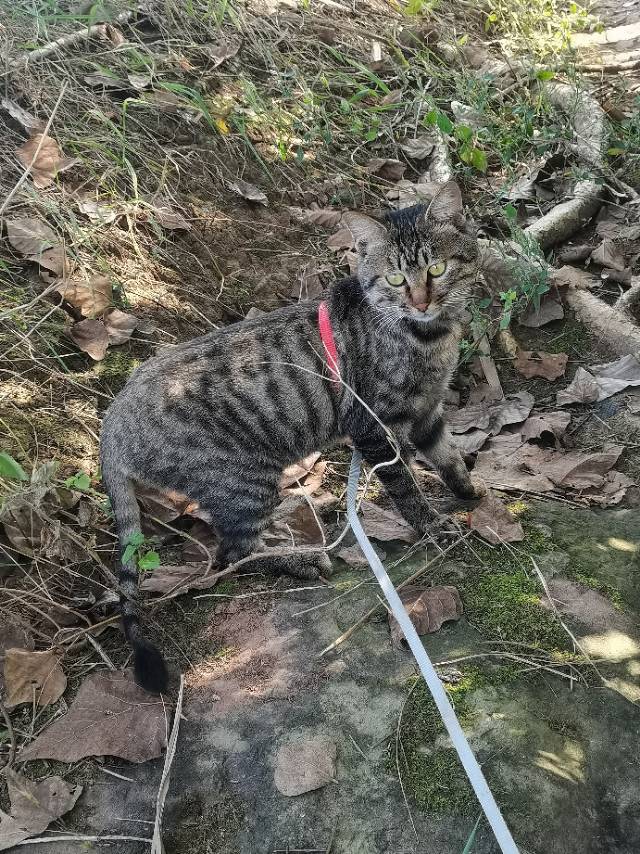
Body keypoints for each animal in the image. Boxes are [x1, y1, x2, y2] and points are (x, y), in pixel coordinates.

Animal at [101, 182, 484, 696]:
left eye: (436, 269)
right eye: (395, 279)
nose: (422, 303)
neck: (430, 338)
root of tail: (113, 419)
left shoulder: (428, 412)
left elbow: (449, 458)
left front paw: (469, 492)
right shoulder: (374, 428)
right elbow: (407, 489)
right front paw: (433, 526)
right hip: (242, 479)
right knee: (232, 556)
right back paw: (297, 561)